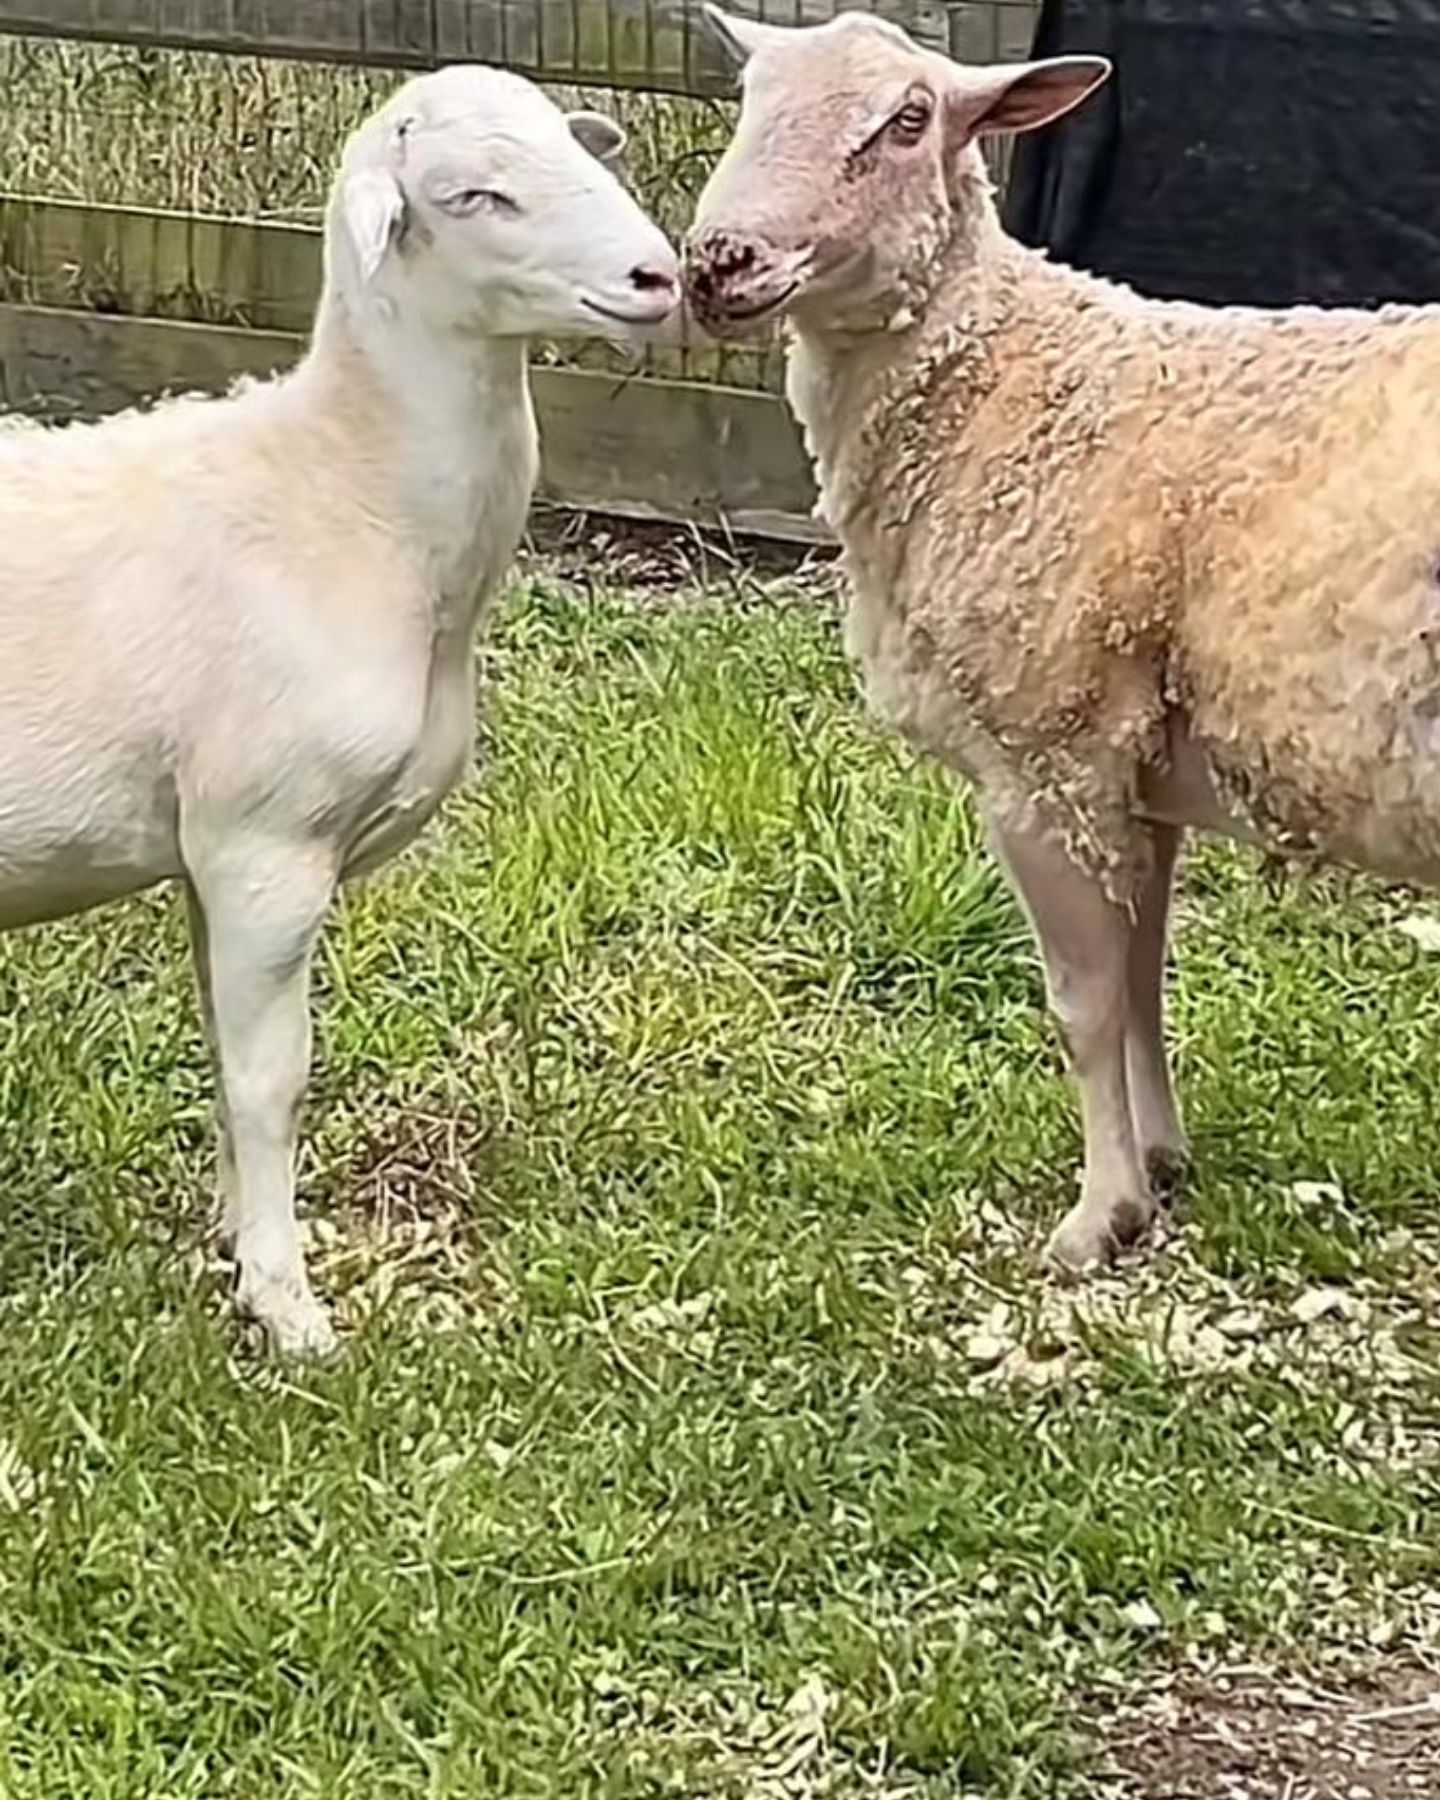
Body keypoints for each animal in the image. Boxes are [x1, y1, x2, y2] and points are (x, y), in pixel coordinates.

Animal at [0, 63, 676, 1353]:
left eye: (581, 146)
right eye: (472, 195)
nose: (658, 277)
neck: (342, 489)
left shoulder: (210, 854)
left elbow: (226, 1058)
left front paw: (232, 1247)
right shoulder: (267, 842)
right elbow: (274, 1079)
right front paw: (287, 1303)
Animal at [680, 14, 1440, 1281]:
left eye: (907, 121)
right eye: (747, 96)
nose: (716, 263)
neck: (1004, 375)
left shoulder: (1048, 758)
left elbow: (1084, 1001)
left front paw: (1101, 1217)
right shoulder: (1140, 774)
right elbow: (1142, 979)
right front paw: (1165, 1164)